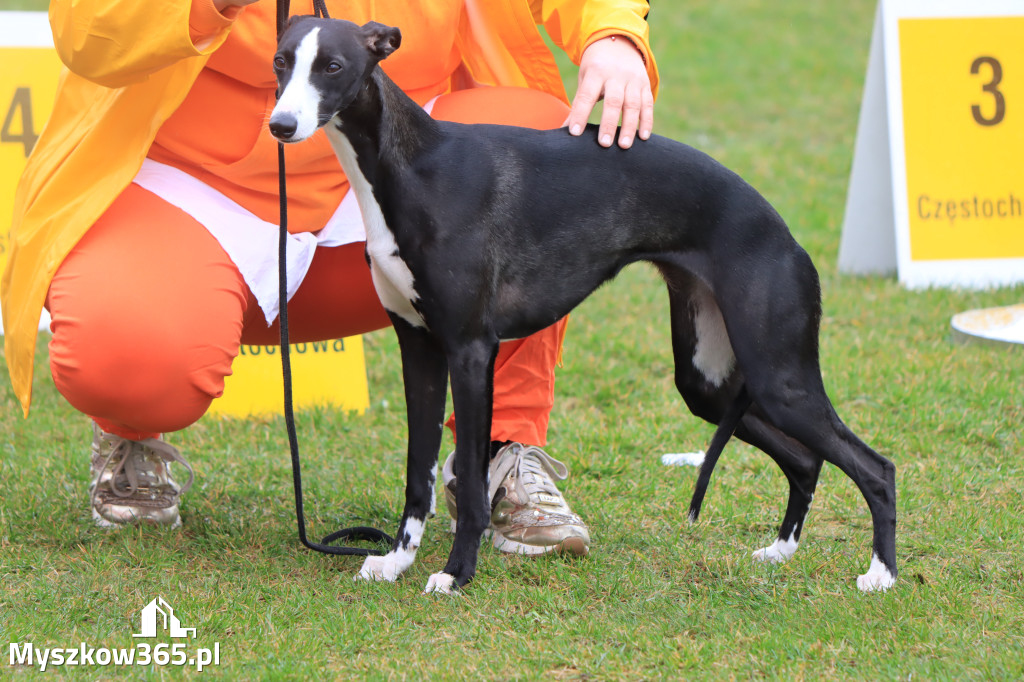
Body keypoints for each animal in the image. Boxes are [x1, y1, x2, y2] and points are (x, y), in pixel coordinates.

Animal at [270, 15, 897, 589]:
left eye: (333, 66)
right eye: (280, 62)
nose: (280, 125)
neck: (413, 167)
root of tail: (784, 233)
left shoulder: (471, 350)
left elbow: (470, 484)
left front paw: (456, 573)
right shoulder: (419, 347)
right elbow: (416, 474)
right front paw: (396, 561)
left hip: (778, 376)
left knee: (876, 466)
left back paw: (881, 575)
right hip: (710, 383)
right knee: (806, 460)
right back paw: (779, 552)